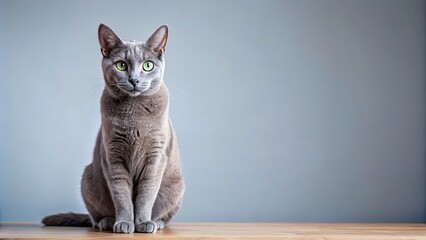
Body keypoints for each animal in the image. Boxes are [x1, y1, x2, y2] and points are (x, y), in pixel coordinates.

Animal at [41, 23, 185, 233]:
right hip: (87, 179)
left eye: (147, 65)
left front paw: (142, 222)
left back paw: (156, 223)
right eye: (121, 65)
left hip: (178, 185)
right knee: (94, 217)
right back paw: (107, 221)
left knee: (165, 216)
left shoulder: (156, 156)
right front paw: (124, 223)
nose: (134, 80)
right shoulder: (113, 156)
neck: (134, 112)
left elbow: (146, 194)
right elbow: (121, 194)